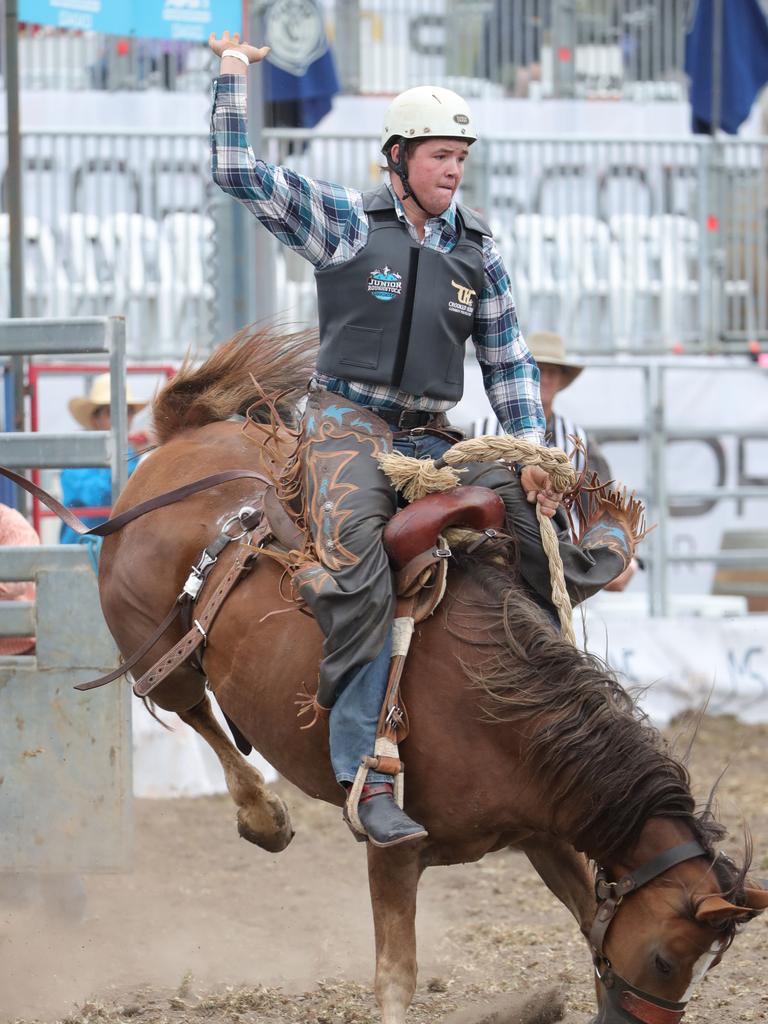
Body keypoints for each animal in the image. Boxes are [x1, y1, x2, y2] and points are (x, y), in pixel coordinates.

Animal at [99, 327, 765, 1024]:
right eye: (665, 959)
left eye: (707, 969)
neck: (494, 714)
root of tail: (185, 440)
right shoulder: (394, 854)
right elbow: (397, 979)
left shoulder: (546, 831)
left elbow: (590, 920)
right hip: (158, 653)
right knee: (192, 708)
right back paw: (265, 818)